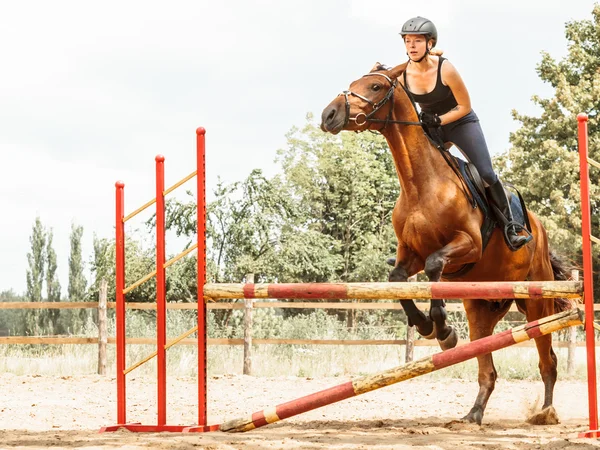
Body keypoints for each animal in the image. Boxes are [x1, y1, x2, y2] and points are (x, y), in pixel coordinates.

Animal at [322, 62, 568, 426]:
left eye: (376, 86)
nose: (329, 114)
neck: (421, 183)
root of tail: (538, 227)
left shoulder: (467, 246)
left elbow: (434, 267)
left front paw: (442, 330)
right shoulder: (408, 253)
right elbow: (398, 279)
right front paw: (426, 326)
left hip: (537, 302)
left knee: (547, 360)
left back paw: (546, 412)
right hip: (481, 308)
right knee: (487, 369)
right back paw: (473, 415)